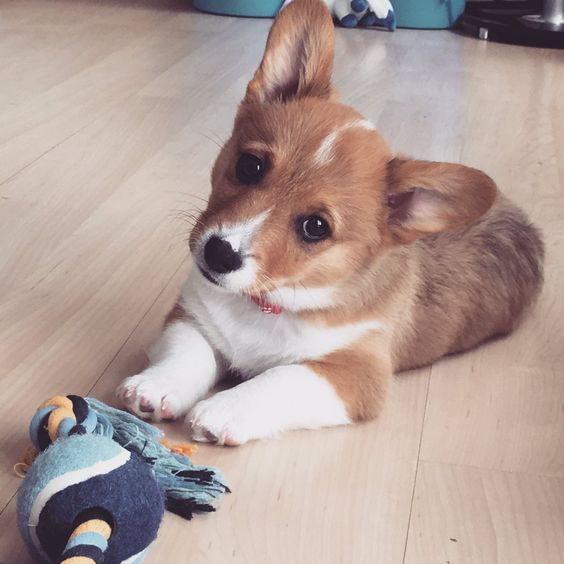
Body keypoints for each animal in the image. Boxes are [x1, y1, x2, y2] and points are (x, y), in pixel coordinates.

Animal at [114, 0, 540, 448]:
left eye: (315, 227)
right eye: (250, 166)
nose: (219, 254)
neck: (268, 302)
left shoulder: (355, 374)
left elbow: (281, 377)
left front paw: (222, 409)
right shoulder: (191, 318)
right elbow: (187, 351)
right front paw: (158, 384)